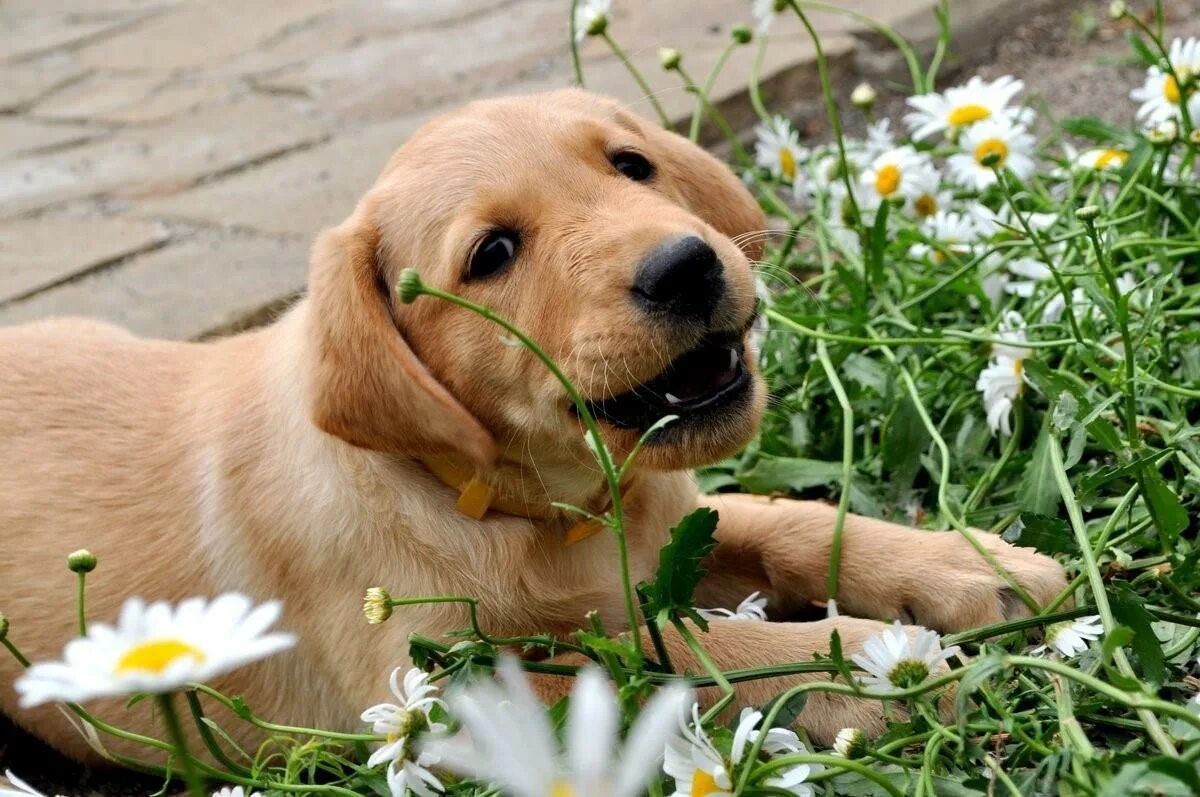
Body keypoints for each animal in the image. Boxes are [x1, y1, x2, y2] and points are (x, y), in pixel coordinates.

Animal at [0, 90, 1070, 763]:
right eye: (493, 254)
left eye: (632, 165)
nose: (687, 266)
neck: (534, 507)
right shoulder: (443, 693)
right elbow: (669, 654)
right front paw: (867, 663)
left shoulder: (665, 520)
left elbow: (784, 521)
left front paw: (971, 565)